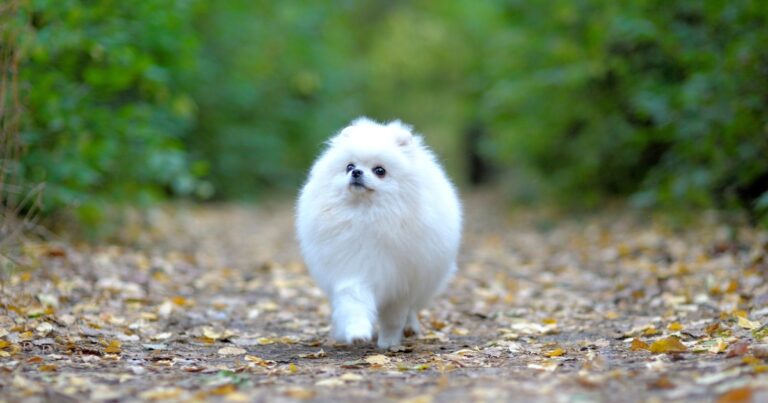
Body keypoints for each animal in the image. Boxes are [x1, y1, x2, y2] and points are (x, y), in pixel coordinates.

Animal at [296, 116, 462, 348]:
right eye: (349, 166)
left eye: (380, 170)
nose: (356, 172)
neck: (367, 216)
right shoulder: (352, 269)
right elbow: (353, 302)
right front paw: (357, 333)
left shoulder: (400, 284)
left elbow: (394, 318)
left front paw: (388, 343)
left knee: (412, 309)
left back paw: (410, 328)